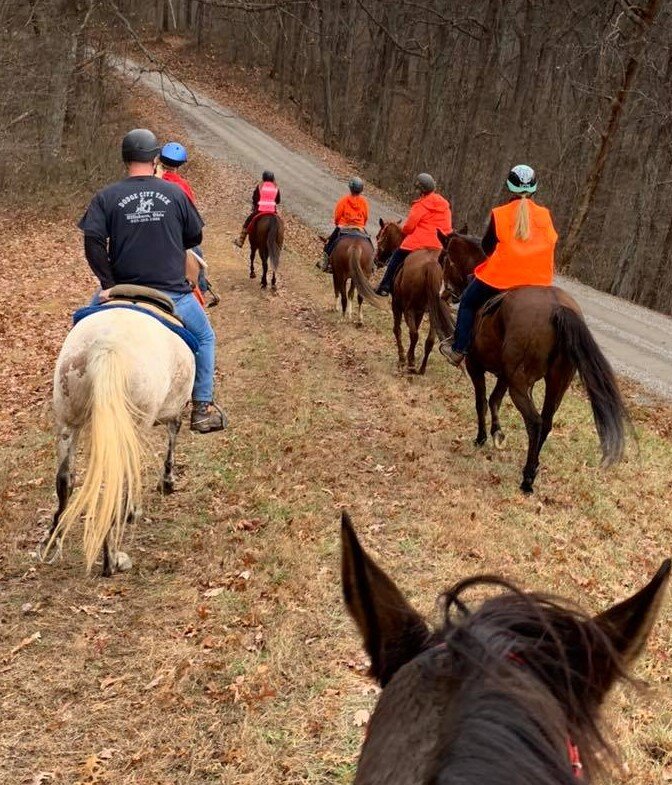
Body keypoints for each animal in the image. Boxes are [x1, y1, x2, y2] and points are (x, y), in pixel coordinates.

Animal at [40, 300, 194, 576]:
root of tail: (106, 348)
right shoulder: (171, 411)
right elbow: (172, 436)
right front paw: (164, 485)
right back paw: (112, 559)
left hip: (68, 419)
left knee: (65, 479)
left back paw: (53, 539)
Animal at [350, 217, 448, 370]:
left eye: (378, 236)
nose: (377, 261)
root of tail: (431, 265)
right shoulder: (420, 311)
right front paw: (407, 355)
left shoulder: (397, 305)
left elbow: (397, 329)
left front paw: (402, 357)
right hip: (432, 314)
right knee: (429, 339)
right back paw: (421, 368)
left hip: (408, 308)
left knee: (414, 334)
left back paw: (410, 363)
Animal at [428, 230, 628, 494]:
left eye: (443, 259)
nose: (443, 294)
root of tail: (558, 309)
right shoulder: (505, 375)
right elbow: (494, 400)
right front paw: (497, 433)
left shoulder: (476, 367)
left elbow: (481, 402)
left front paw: (482, 437)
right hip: (555, 384)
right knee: (546, 422)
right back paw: (532, 469)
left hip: (520, 385)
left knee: (534, 423)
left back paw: (527, 478)